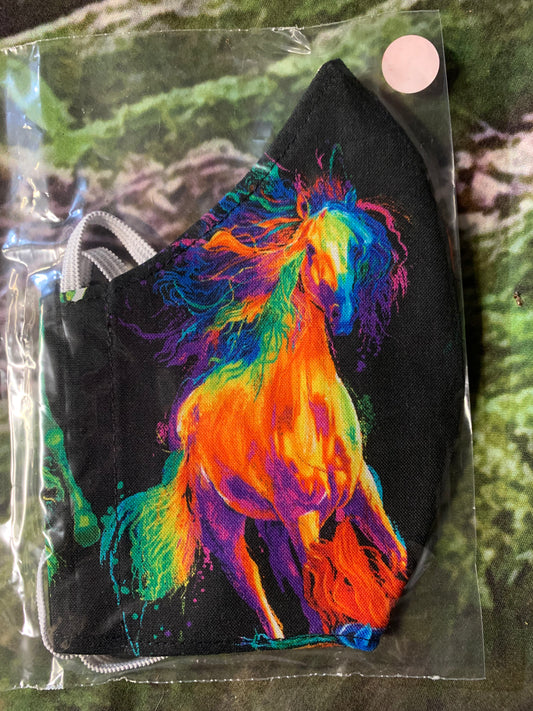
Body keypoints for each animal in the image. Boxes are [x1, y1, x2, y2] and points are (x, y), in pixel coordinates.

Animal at [101, 154, 409, 651]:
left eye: (356, 248)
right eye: (310, 250)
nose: (341, 314)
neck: (311, 414)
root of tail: (189, 418)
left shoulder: (361, 489)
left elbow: (394, 555)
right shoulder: (303, 515)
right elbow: (322, 583)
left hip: (271, 522)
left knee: (291, 577)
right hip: (229, 528)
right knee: (255, 583)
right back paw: (280, 637)